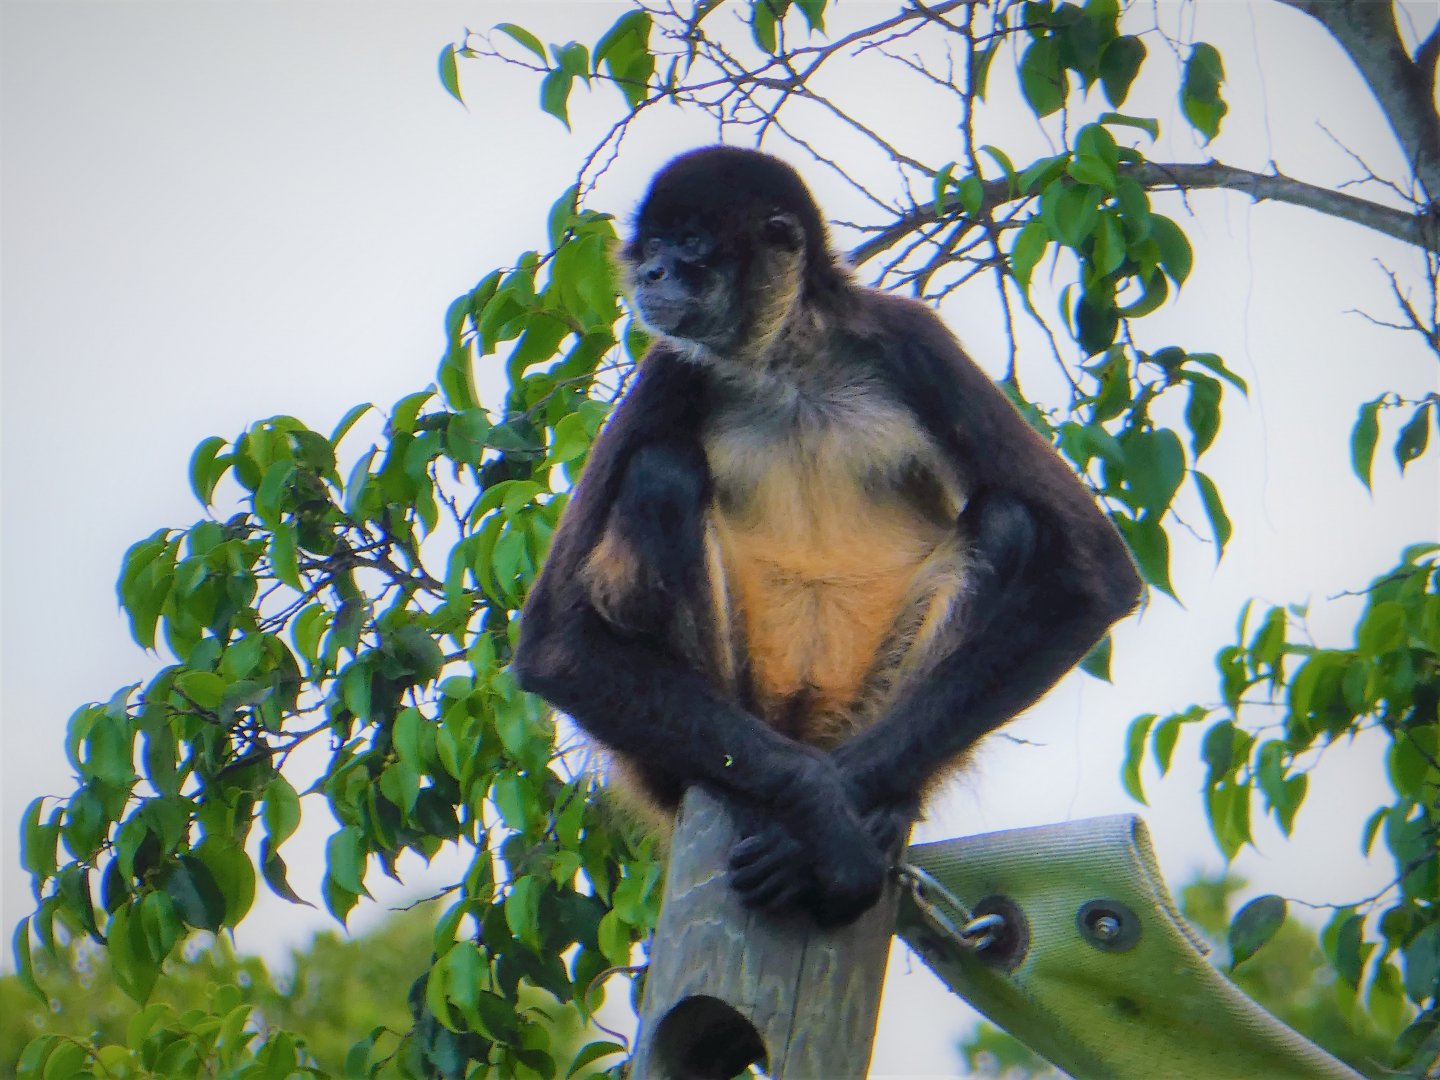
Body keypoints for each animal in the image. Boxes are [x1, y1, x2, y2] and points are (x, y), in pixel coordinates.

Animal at [512, 146, 1141, 928]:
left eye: (689, 242)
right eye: (651, 245)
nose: (652, 273)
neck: (784, 366)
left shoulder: (910, 337)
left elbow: (1096, 573)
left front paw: (840, 825)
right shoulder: (668, 367)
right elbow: (555, 645)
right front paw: (821, 816)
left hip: (866, 712)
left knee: (1010, 519)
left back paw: (886, 807)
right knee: (661, 473)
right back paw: (742, 793)